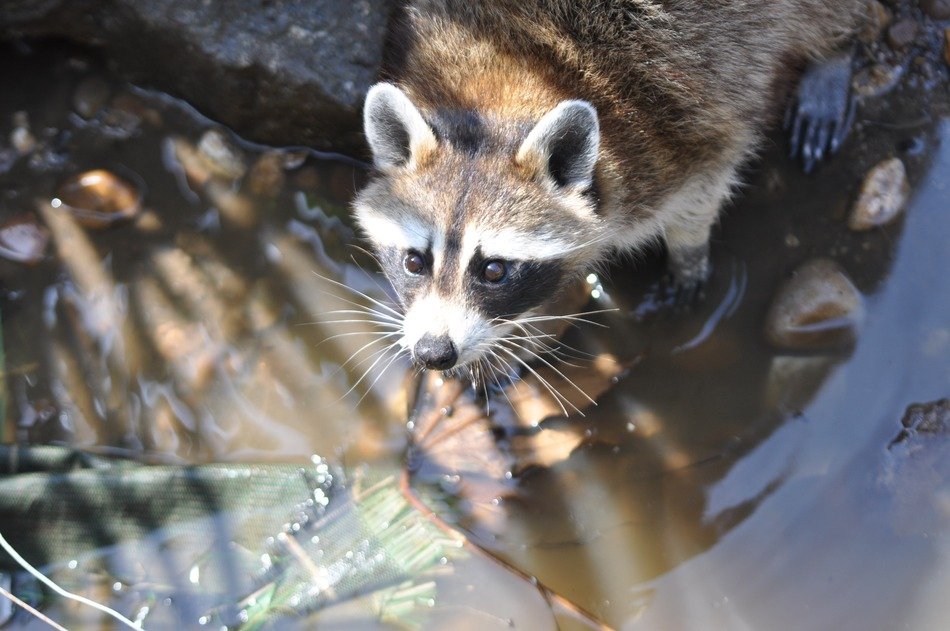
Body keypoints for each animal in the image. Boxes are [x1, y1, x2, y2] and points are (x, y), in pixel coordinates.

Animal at [352, 0, 860, 373]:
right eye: (414, 262)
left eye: (494, 270)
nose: (433, 353)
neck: (498, 92)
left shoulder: (678, 123)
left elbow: (707, 184)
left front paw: (688, 252)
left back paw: (834, 54)